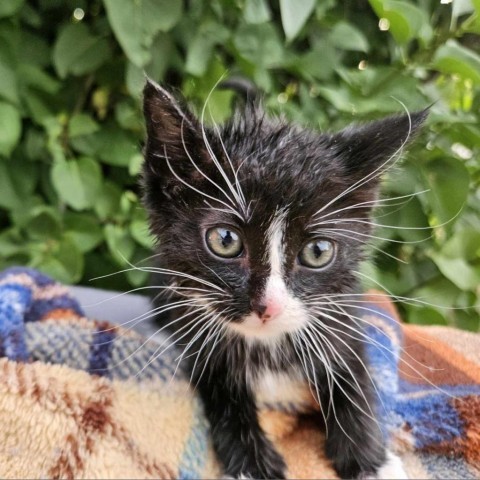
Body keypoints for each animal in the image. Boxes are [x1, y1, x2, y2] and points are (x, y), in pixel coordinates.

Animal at [141, 79, 426, 480]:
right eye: (225, 241)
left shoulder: (340, 316)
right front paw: (253, 464)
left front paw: (372, 463)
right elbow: (222, 390)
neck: (268, 345)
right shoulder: (193, 327)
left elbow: (354, 380)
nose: (269, 307)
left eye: (317, 251)